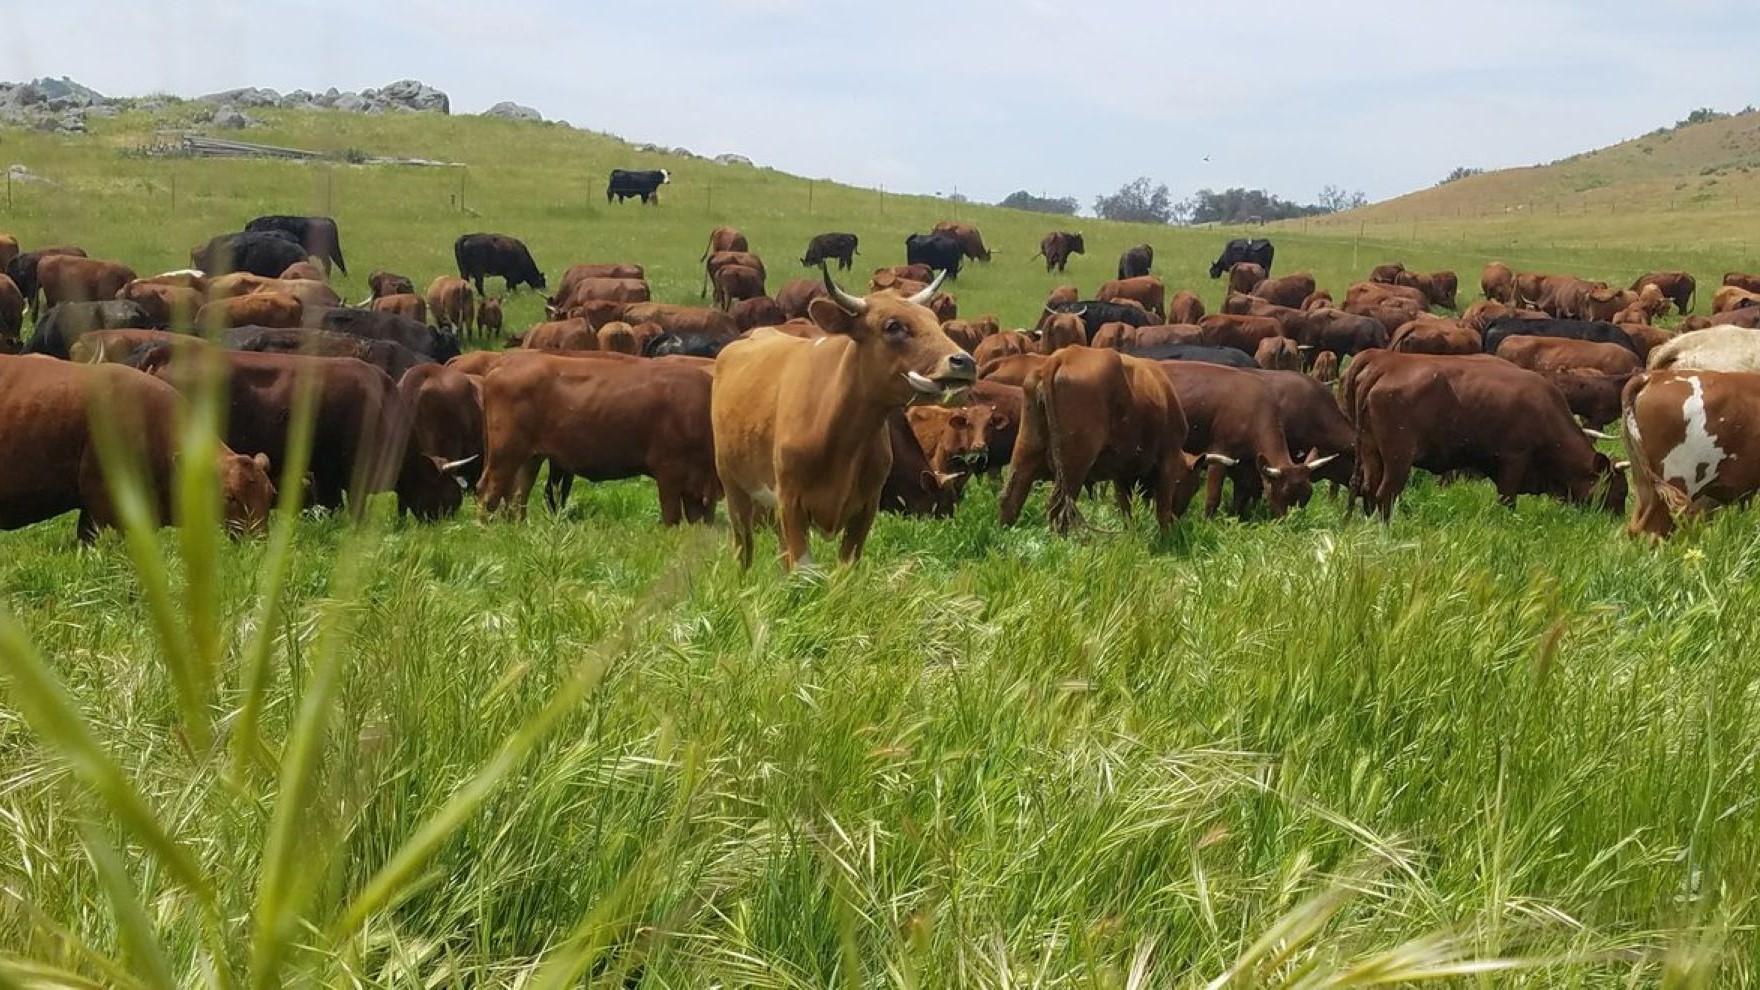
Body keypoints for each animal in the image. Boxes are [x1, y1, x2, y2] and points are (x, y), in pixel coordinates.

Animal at [480, 352, 717, 524]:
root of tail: (506, 361)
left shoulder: (698, 485)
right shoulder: (669, 472)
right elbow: (672, 517)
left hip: (529, 458)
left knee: (517, 496)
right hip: (505, 453)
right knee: (488, 491)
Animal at [711, 268, 972, 568]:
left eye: (934, 319)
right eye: (893, 326)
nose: (964, 361)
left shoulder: (865, 510)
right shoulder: (791, 503)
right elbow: (804, 569)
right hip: (734, 488)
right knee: (743, 549)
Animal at [998, 346, 1190, 532]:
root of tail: (1061, 357)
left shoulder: (1120, 474)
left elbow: (1126, 510)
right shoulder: (1168, 461)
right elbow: (1162, 511)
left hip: (1027, 449)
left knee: (1011, 497)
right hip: (1074, 466)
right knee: (1059, 507)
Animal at [1349, 351, 1625, 521]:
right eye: (1618, 490)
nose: (1616, 522)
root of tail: (1385, 365)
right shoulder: (1514, 461)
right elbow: (1507, 500)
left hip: (1371, 452)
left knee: (1368, 488)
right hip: (1398, 458)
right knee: (1386, 493)